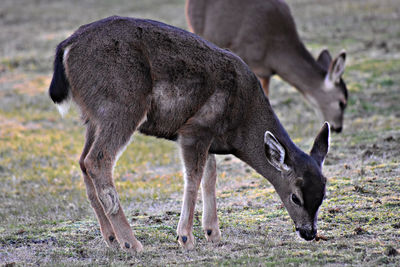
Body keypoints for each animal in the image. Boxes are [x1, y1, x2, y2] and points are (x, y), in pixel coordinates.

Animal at [49, 15, 332, 254]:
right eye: (295, 197)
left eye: (323, 195)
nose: (309, 232)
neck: (241, 122)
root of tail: (66, 46)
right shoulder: (196, 128)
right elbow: (193, 178)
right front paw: (185, 237)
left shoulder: (209, 138)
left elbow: (210, 176)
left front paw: (213, 233)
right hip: (122, 104)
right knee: (97, 160)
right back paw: (131, 243)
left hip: (93, 116)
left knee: (83, 161)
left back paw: (110, 238)